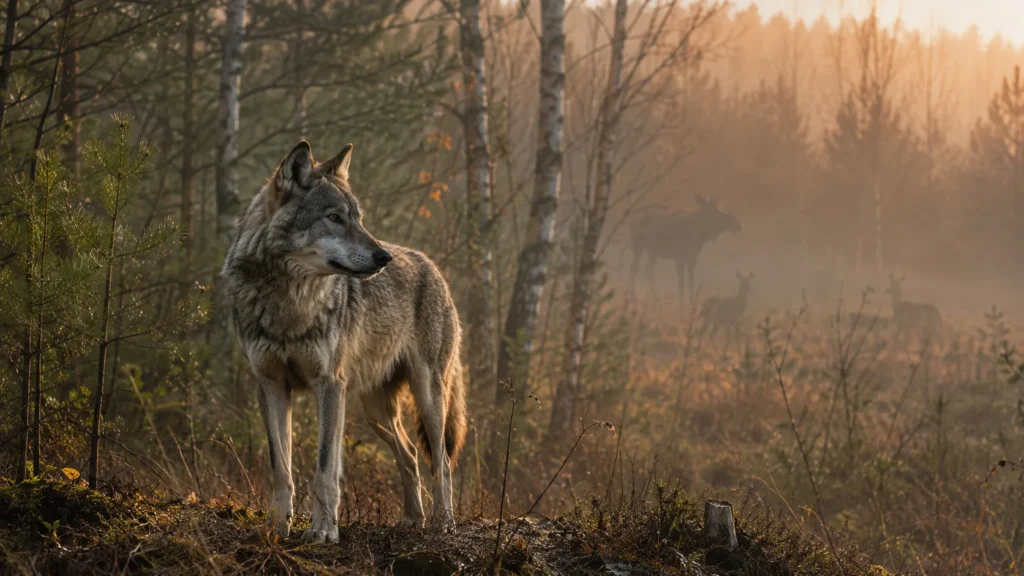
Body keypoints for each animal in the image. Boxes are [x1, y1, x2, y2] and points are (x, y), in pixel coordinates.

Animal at [220, 141, 467, 542]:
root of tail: (431, 265)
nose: (385, 257)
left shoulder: (329, 385)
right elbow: (280, 468)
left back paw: (443, 523)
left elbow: (325, 469)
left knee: (441, 463)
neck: (290, 301)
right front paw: (278, 527)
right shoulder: (271, 385)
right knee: (410, 455)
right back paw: (412, 519)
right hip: (374, 411)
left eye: (358, 218)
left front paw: (323, 531)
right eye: (335, 217)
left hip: (428, 396)